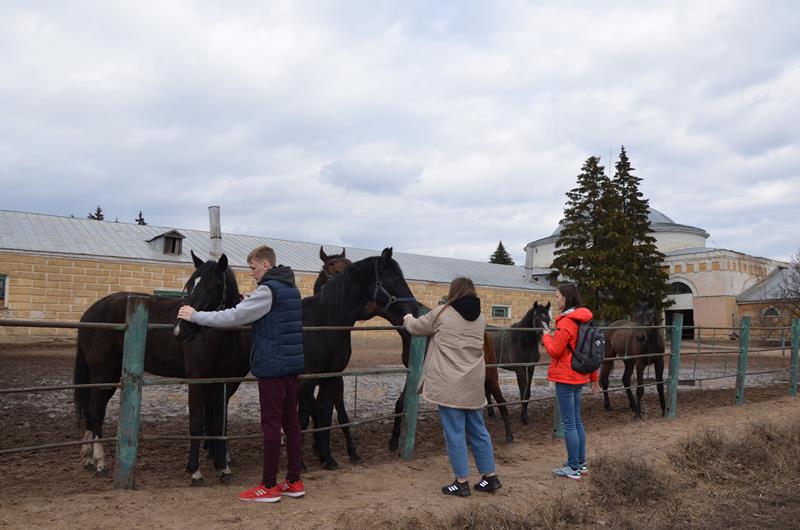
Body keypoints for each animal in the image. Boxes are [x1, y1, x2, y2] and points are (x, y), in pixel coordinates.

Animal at [74, 252, 249, 486]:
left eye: (212, 287)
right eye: (190, 286)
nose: (179, 330)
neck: (216, 338)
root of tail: (89, 314)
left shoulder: (221, 382)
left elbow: (220, 424)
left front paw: (223, 468)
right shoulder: (197, 380)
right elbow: (197, 423)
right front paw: (195, 471)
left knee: (93, 412)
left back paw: (89, 458)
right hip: (104, 374)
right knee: (96, 412)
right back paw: (100, 462)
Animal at [299, 247, 418, 470]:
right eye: (394, 277)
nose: (414, 309)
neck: (324, 321)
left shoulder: (331, 377)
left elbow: (325, 415)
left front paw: (328, 458)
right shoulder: (305, 380)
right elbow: (303, 417)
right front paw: (300, 464)